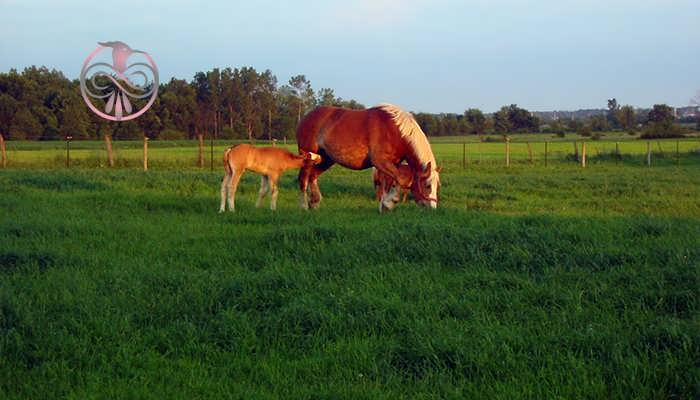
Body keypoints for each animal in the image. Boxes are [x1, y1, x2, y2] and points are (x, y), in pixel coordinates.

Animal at [298, 103, 440, 211]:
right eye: (427, 185)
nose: (432, 208)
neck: (395, 131)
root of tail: (306, 117)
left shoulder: (393, 163)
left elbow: (389, 183)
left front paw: (385, 206)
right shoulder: (380, 162)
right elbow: (401, 180)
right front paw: (390, 201)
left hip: (326, 159)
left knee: (313, 176)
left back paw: (314, 202)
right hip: (308, 157)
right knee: (304, 179)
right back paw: (304, 206)